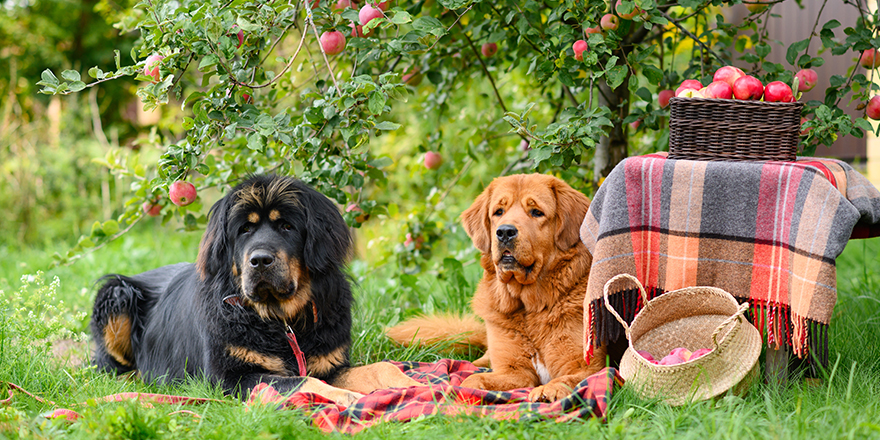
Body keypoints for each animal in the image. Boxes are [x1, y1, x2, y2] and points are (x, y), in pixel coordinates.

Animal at [92, 174, 420, 402]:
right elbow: (304, 381)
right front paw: (348, 397)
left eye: (287, 226)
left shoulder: (331, 363)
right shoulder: (229, 379)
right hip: (116, 293)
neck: (282, 319)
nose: (260, 260)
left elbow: (382, 367)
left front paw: (417, 384)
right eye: (245, 229)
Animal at [388, 174, 608, 400]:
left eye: (537, 212)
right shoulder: (513, 371)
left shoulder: (586, 366)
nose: (504, 232)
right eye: (499, 212)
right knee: (475, 362)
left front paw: (549, 390)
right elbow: (473, 378)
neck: (528, 307)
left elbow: (569, 378)